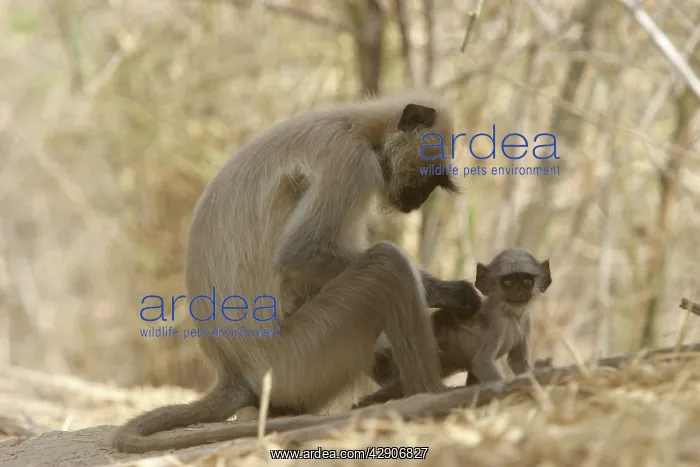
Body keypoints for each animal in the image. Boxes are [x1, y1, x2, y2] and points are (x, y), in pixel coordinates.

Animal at [111, 90, 483, 454]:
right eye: (428, 177)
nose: (419, 201)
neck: (362, 129)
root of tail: (232, 371)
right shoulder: (351, 161)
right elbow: (301, 253)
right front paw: (453, 293)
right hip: (295, 362)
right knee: (387, 264)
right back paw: (430, 395)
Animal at [355, 248, 551, 408]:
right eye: (508, 282)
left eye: (526, 281)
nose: (519, 293)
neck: (511, 317)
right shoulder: (498, 324)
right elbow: (482, 363)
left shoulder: (525, 321)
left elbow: (518, 364)